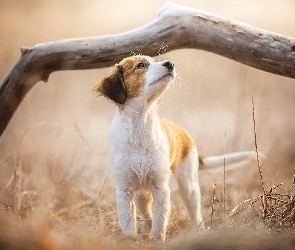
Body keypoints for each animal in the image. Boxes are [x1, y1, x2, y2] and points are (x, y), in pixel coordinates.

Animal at [94, 55, 260, 241]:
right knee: (147, 215)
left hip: (189, 186)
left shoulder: (161, 188)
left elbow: (159, 225)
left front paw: (157, 242)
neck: (139, 129)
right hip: (142, 194)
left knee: (195, 214)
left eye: (155, 61)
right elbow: (129, 225)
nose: (170, 64)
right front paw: (132, 241)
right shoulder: (125, 191)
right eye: (141, 65)